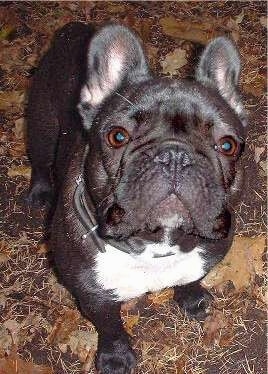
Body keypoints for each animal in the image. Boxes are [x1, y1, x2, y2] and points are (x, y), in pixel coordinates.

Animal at [26, 22, 247, 374]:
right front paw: (116, 357)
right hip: (41, 127)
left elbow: (191, 278)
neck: (156, 246)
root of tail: (72, 29)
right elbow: (110, 326)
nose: (174, 155)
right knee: (40, 161)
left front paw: (192, 299)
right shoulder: (92, 294)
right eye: (118, 136)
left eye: (227, 145)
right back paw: (39, 193)